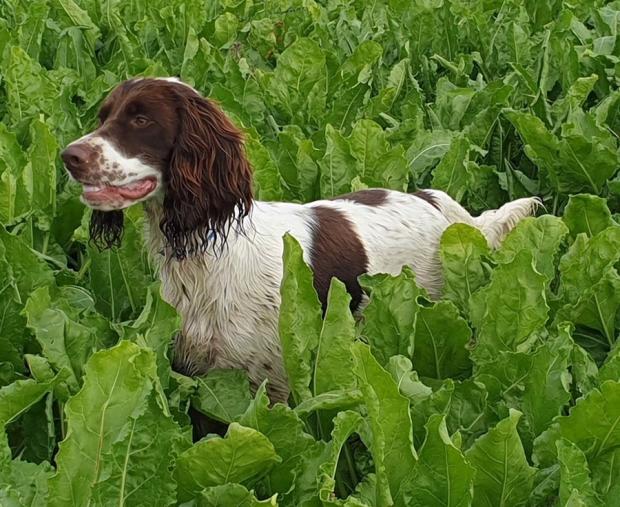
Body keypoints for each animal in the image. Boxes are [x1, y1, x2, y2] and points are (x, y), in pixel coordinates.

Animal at [60, 78, 540, 404]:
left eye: (141, 119)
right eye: (103, 116)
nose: (69, 156)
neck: (205, 254)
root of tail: (434, 201)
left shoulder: (270, 382)